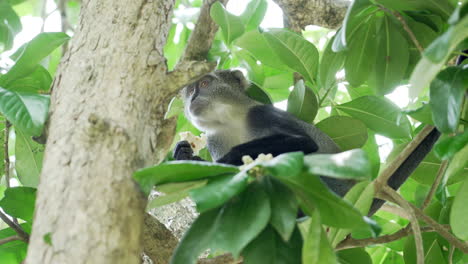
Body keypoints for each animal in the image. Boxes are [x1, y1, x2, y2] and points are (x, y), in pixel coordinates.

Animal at [174, 69, 440, 214]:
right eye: (189, 92)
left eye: (205, 83)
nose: (193, 98)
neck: (231, 121)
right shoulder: (215, 139)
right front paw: (183, 154)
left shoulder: (262, 114)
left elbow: (304, 143)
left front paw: (225, 162)